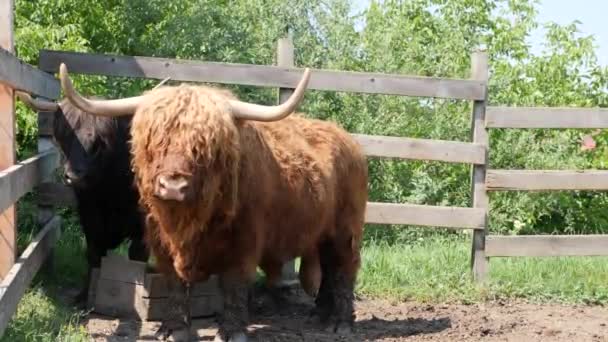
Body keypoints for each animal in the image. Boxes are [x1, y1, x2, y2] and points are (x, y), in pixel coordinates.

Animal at [16, 91, 150, 308]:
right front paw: (85, 295)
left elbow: (137, 258)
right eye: (65, 136)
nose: (74, 177)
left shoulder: (144, 224)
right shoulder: (89, 215)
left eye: (100, 142)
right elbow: (94, 254)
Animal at [59, 64, 368, 342]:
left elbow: (233, 286)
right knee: (328, 267)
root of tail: (349, 141)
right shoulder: (161, 243)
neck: (190, 222)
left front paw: (232, 332)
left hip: (347, 229)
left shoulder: (244, 243)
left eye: (203, 147)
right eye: (155, 141)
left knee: (344, 268)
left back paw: (341, 323)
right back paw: (321, 315)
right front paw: (172, 329)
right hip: (323, 232)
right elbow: (175, 284)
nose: (173, 186)